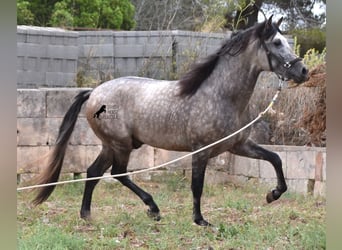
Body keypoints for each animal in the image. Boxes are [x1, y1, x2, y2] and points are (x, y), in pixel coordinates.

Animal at [33, 16, 308, 227]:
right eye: (276, 42)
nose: (303, 71)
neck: (220, 95)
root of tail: (93, 93)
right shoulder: (201, 151)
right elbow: (197, 186)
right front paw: (200, 220)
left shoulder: (238, 145)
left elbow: (275, 158)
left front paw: (273, 194)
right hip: (121, 145)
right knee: (118, 173)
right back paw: (153, 209)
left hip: (112, 145)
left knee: (94, 172)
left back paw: (87, 215)